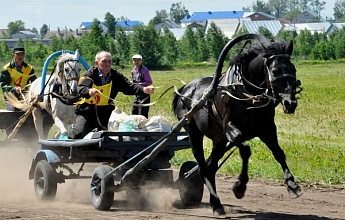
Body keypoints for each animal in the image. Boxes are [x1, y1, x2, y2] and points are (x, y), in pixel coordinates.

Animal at [172, 34, 300, 217]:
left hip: (218, 140)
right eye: (275, 71)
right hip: (194, 133)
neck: (248, 95)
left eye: (293, 69)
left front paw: (292, 185)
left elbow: (279, 153)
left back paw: (215, 204)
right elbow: (245, 150)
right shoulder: (231, 130)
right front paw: (240, 186)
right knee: (203, 168)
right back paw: (216, 204)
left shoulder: (267, 129)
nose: (290, 103)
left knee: (210, 167)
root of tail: (185, 89)